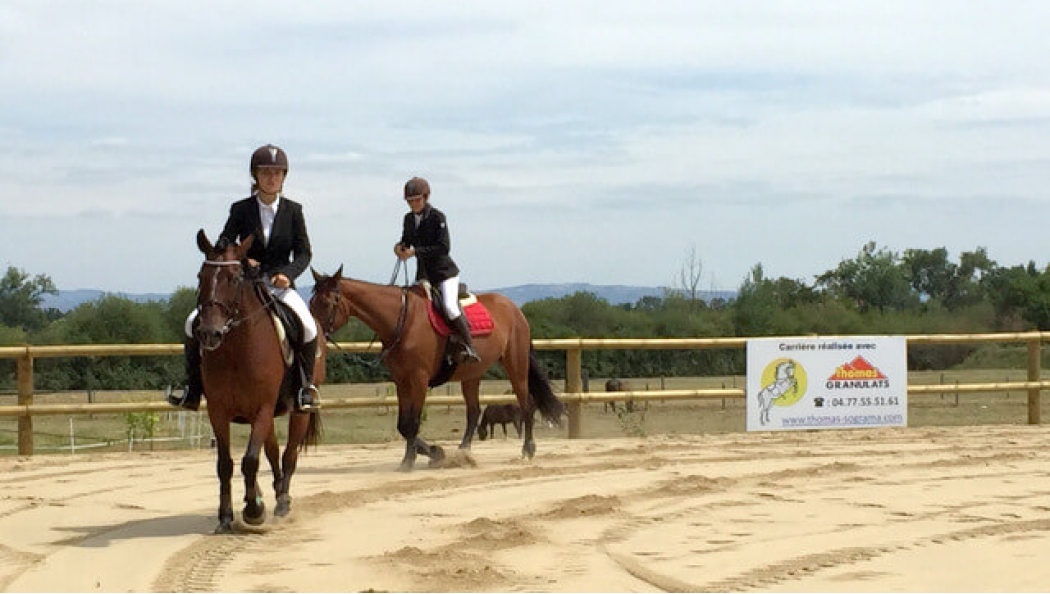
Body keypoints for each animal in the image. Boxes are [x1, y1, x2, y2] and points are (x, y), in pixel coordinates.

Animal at [194, 229, 321, 535]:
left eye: (234, 278)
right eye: (201, 277)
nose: (210, 334)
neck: (235, 351)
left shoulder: (262, 408)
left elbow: (250, 461)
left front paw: (254, 512)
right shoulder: (218, 411)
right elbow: (225, 464)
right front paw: (226, 516)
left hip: (298, 410)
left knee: (288, 455)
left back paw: (282, 502)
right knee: (273, 452)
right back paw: (271, 492)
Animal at [306, 267, 562, 472]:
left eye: (327, 303)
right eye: (310, 303)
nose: (314, 336)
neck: (402, 320)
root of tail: (514, 309)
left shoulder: (418, 379)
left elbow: (412, 422)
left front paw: (410, 461)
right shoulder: (402, 381)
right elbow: (403, 425)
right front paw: (434, 453)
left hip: (515, 364)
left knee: (527, 404)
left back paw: (528, 449)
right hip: (472, 375)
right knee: (473, 412)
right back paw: (463, 453)